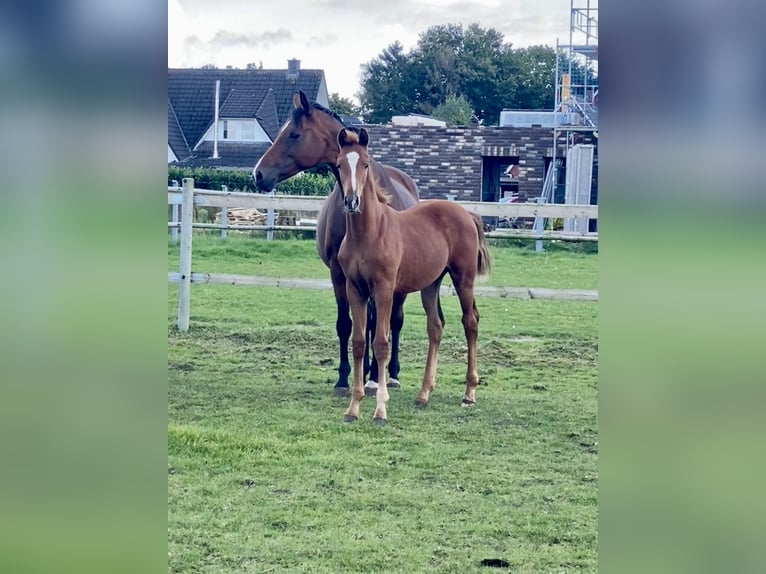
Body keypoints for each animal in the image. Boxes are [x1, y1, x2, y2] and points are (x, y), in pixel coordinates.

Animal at [252, 92, 420, 398]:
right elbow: (346, 324)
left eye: (294, 134)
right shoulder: (338, 272)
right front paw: (344, 378)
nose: (258, 174)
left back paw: (389, 374)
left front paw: (372, 376)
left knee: (394, 320)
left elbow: (378, 323)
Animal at [336, 129, 492, 428]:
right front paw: (352, 408)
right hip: (431, 284)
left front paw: (380, 411)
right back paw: (423, 394)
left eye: (365, 164)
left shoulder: (384, 290)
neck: (369, 233)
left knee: (471, 323)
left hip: (463, 279)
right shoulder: (355, 289)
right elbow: (359, 342)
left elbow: (381, 344)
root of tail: (466, 214)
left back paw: (469, 393)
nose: (351, 202)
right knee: (436, 327)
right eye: (339, 165)